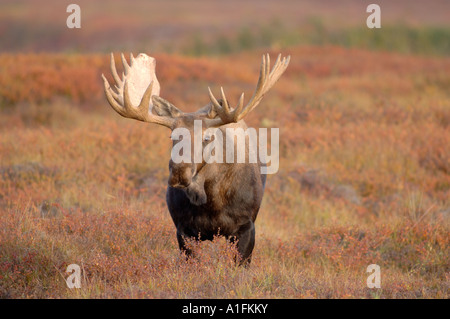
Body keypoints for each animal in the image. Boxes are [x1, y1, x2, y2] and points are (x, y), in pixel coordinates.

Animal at [102, 52, 290, 264]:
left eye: (207, 138)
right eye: (172, 136)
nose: (179, 173)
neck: (212, 204)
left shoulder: (246, 227)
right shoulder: (183, 230)